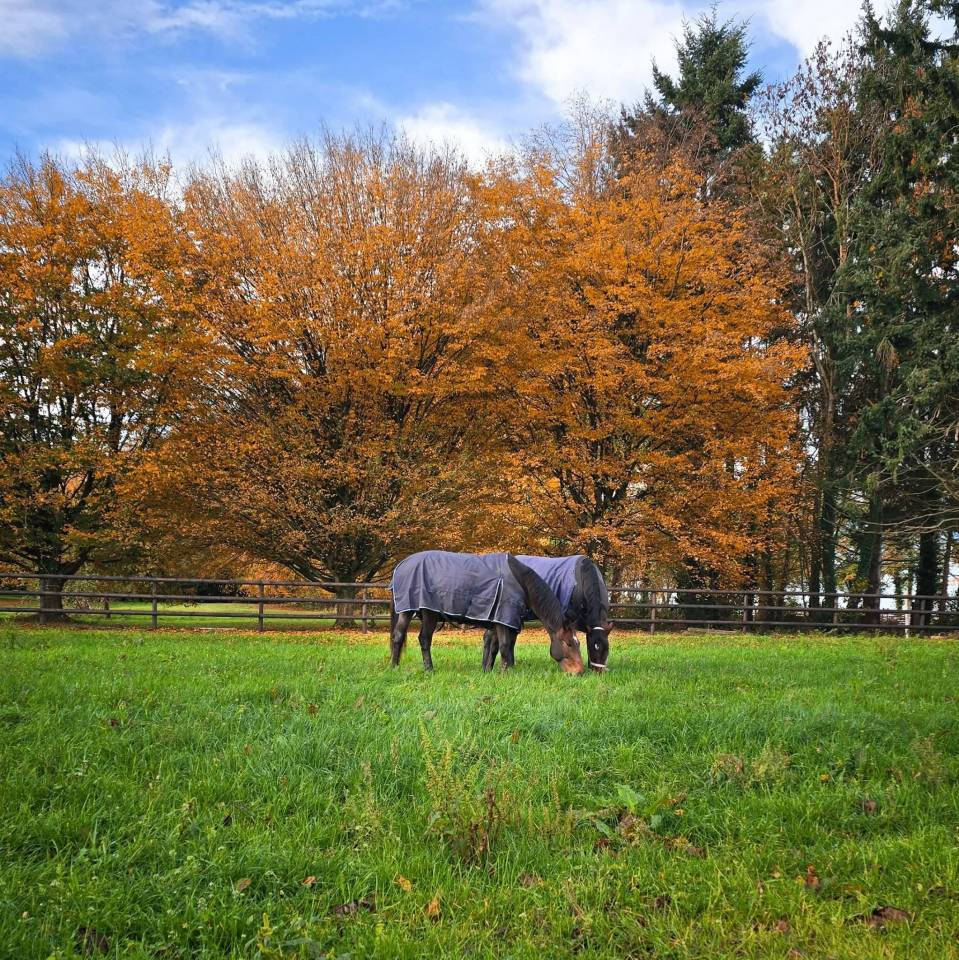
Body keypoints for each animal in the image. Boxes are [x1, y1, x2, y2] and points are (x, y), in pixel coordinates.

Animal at [389, 552, 584, 673]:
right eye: (568, 643)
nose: (580, 672)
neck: (519, 580)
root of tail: (402, 565)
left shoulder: (499, 619)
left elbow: (495, 647)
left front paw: (488, 671)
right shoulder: (503, 617)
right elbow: (504, 646)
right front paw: (505, 673)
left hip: (419, 612)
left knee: (410, 637)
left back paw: (404, 667)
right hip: (420, 612)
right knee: (412, 638)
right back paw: (418, 669)